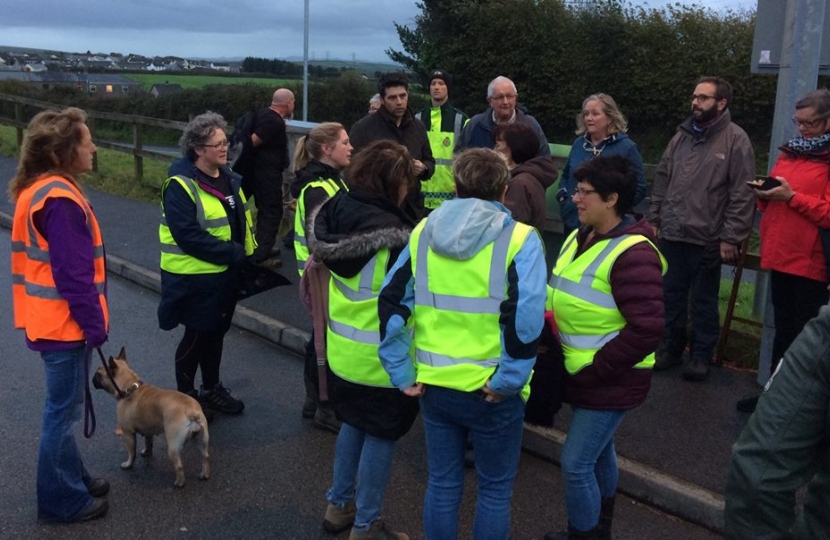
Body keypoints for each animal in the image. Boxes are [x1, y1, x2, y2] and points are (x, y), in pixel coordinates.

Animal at [93, 348, 211, 488]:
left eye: (98, 374)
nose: (92, 379)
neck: (130, 387)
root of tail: (192, 412)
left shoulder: (127, 433)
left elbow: (131, 452)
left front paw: (128, 464)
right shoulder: (148, 430)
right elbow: (148, 443)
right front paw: (146, 453)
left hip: (173, 445)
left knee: (179, 466)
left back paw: (179, 483)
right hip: (202, 439)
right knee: (205, 457)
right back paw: (204, 475)